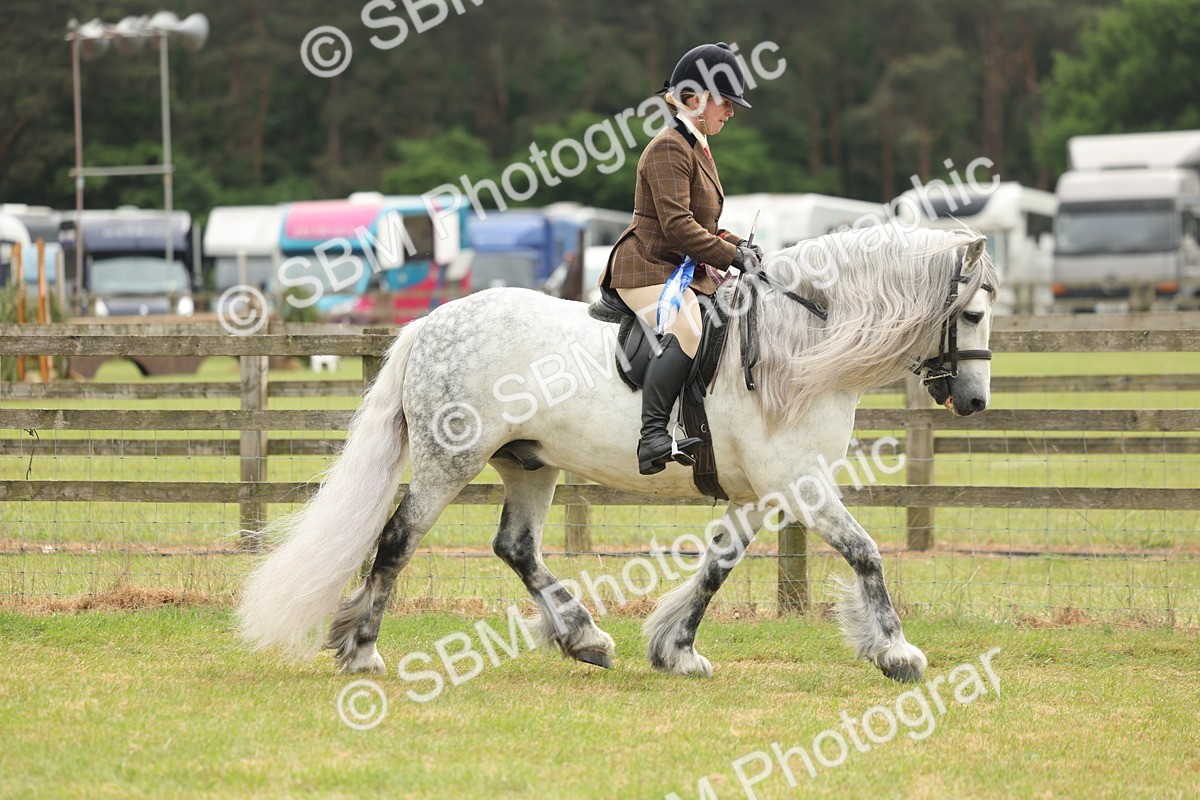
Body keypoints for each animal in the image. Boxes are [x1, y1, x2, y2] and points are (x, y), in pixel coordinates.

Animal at [238, 226, 997, 683]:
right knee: (397, 540)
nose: (974, 401)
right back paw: (363, 652)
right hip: (449, 462)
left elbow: (718, 568)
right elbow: (866, 553)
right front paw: (896, 651)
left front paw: (676, 650)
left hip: (530, 464)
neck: (802, 341)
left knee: (516, 548)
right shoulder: (802, 484)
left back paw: (585, 638)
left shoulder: (764, 492)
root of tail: (428, 323)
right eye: (976, 313)